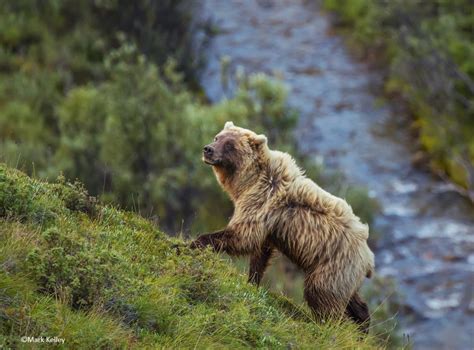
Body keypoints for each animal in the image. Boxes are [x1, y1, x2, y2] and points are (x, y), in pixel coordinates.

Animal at [191, 121, 376, 332]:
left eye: (230, 144)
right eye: (217, 137)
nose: (208, 149)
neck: (247, 182)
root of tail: (369, 257)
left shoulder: (261, 200)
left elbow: (243, 235)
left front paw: (193, 243)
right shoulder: (268, 224)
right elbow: (260, 253)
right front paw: (252, 281)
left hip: (333, 265)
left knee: (321, 295)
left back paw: (325, 325)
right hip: (343, 274)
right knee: (351, 299)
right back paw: (363, 325)